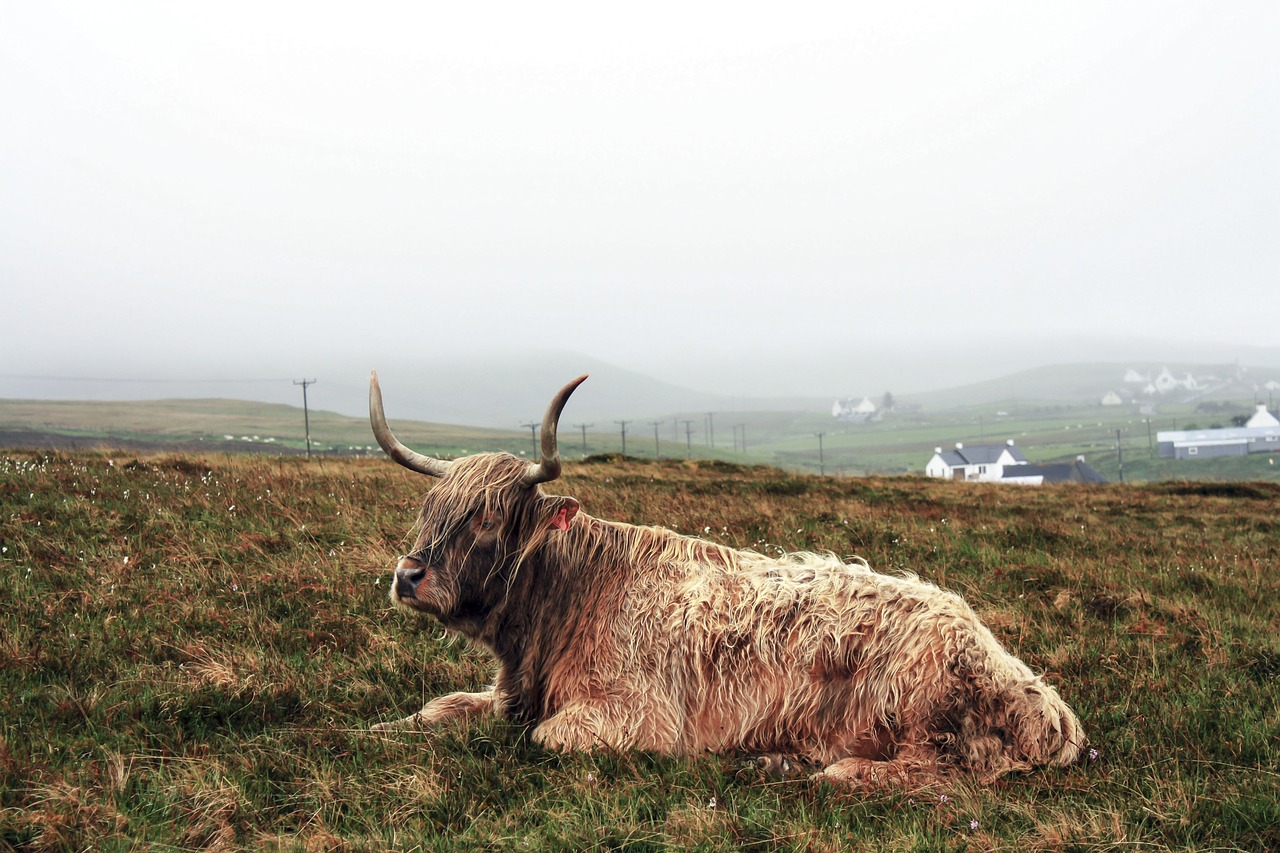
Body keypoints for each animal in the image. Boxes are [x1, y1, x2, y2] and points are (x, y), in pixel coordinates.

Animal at [368, 371, 1080, 783]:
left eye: (488, 520)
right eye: (430, 508)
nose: (408, 575)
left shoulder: (633, 717)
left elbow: (543, 738)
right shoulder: (512, 693)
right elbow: (439, 708)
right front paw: (381, 731)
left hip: (926, 718)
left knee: (927, 772)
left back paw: (811, 768)